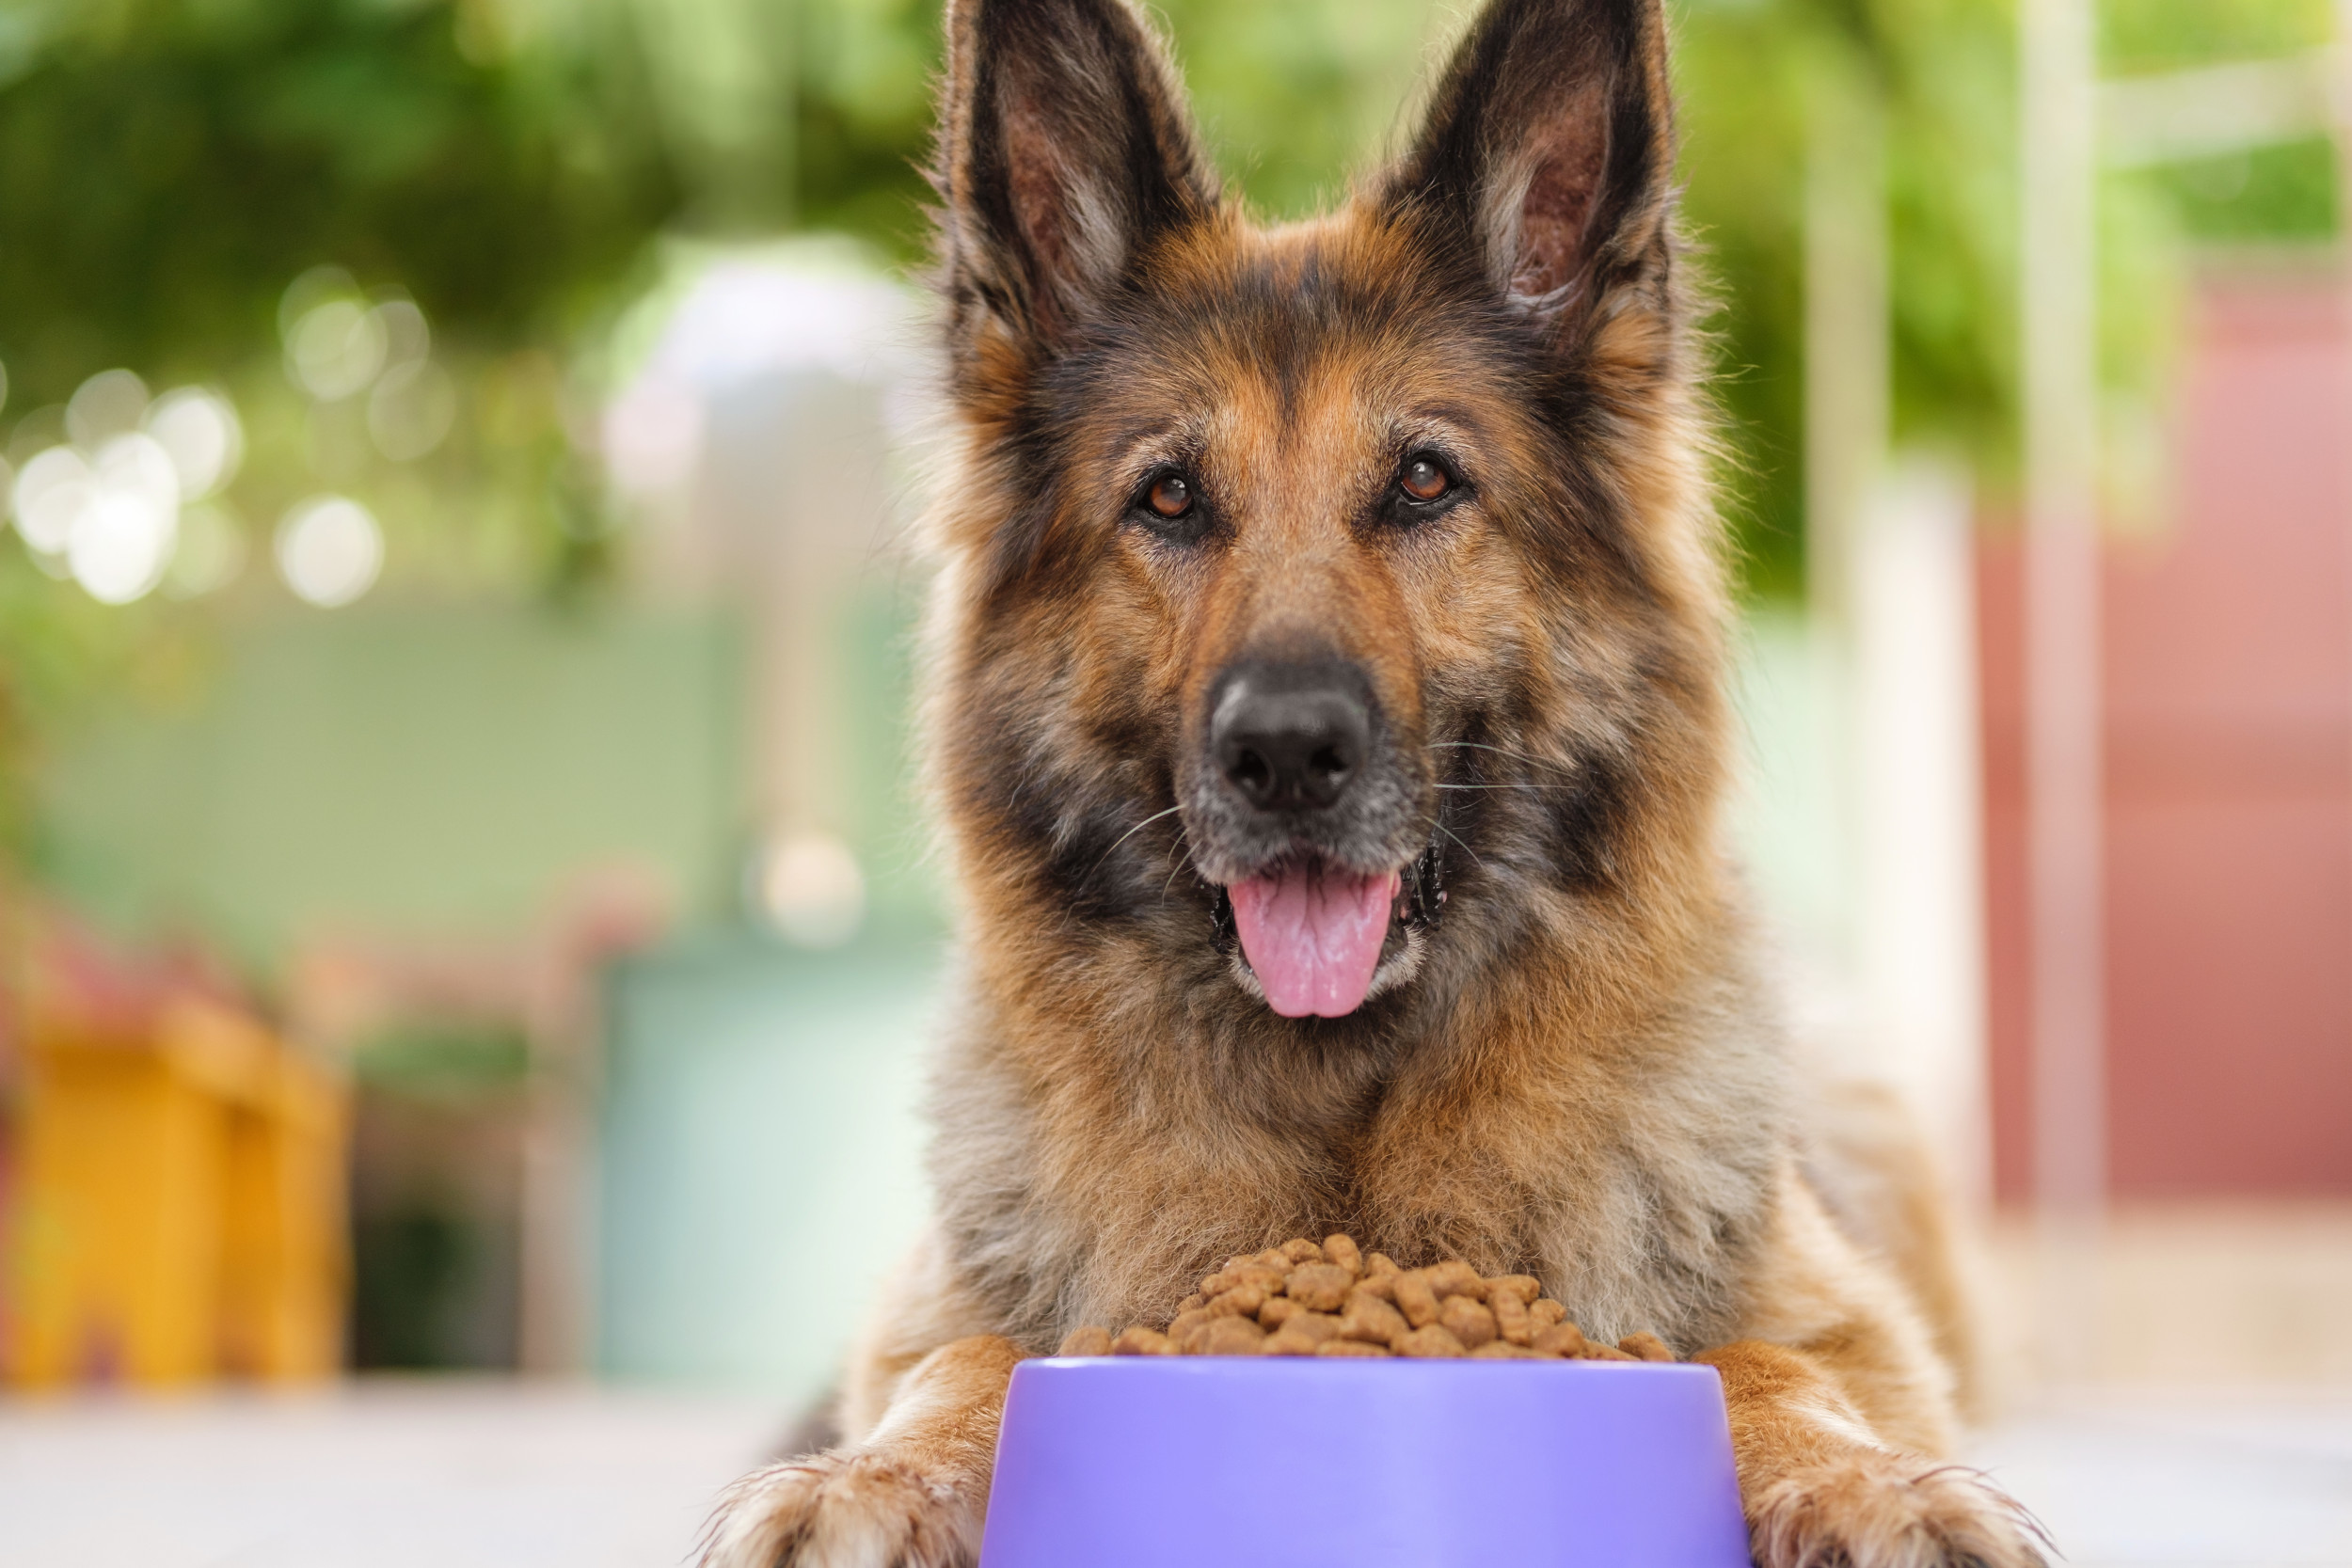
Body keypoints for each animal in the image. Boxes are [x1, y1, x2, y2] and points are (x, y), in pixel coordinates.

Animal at [696, 0, 2042, 1560]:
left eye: (1423, 481)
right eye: (1168, 497)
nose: (1285, 753)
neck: (1347, 1102)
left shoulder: (1848, 1322)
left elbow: (1761, 1356)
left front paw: (1876, 1484)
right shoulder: (933, 1309)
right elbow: (973, 1355)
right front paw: (866, 1476)